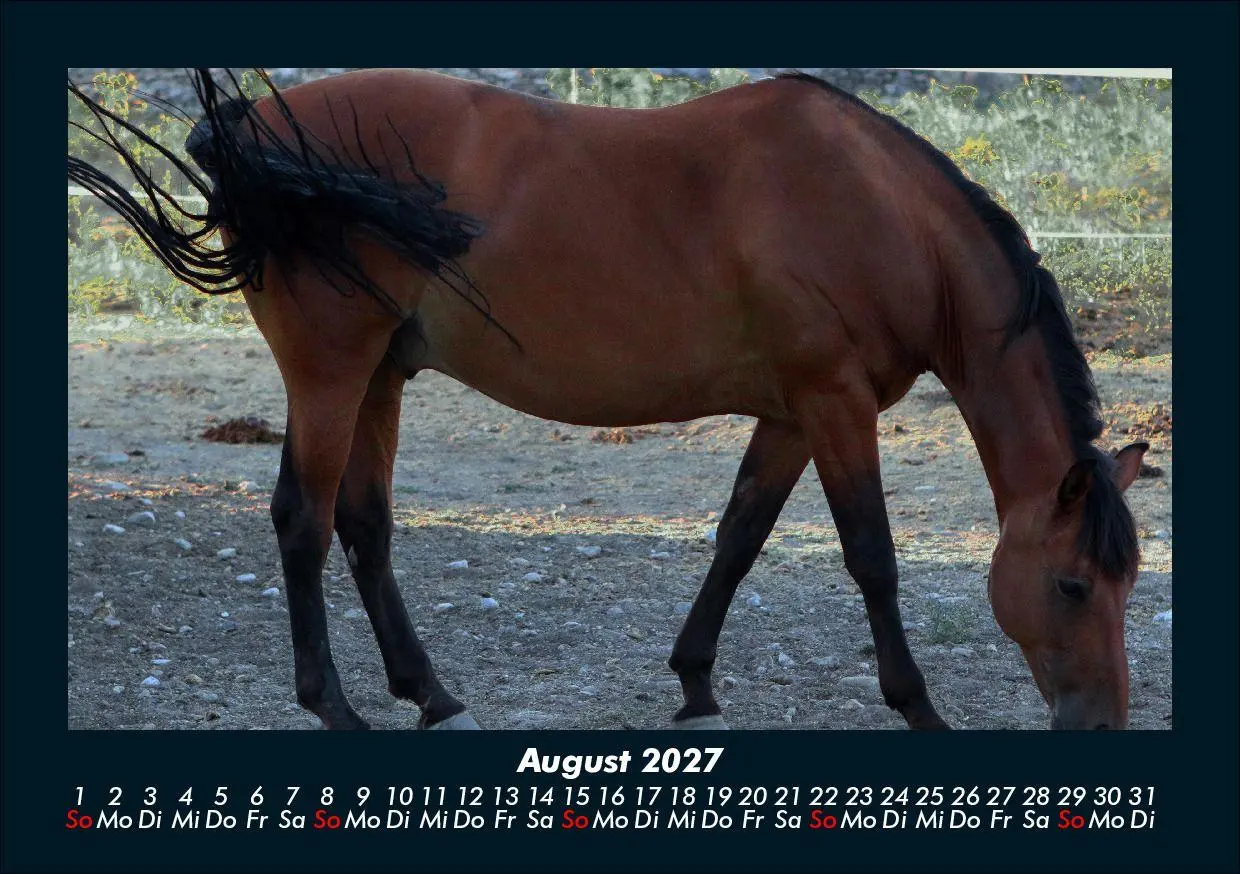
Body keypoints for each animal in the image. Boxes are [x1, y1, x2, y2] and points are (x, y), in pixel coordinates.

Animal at [68, 68, 1148, 731]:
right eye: (1071, 586)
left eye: (1125, 584)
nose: (1100, 724)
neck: (876, 210)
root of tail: (254, 129)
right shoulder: (834, 403)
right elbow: (872, 559)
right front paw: (916, 702)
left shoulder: (791, 414)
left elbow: (738, 537)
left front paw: (696, 680)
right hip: (332, 373)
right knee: (305, 518)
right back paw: (335, 704)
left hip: (379, 375)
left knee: (364, 525)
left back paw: (430, 692)